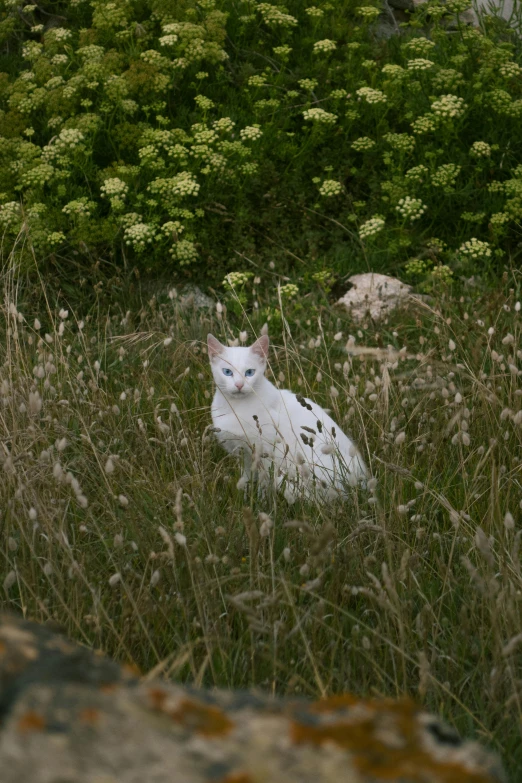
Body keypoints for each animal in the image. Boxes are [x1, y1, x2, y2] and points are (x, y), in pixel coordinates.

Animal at [207, 332, 366, 502]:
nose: (239, 385)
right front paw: (245, 498)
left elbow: (263, 483)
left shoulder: (266, 453)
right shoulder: (246, 455)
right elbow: (247, 478)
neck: (236, 407)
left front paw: (261, 502)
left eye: (249, 372)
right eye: (227, 372)